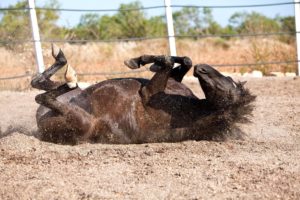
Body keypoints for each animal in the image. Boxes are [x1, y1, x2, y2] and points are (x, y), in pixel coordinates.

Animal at [31, 45, 255, 145]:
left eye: (229, 88)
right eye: (229, 78)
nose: (203, 68)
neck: (193, 111)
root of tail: (40, 127)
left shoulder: (148, 92)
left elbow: (167, 61)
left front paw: (140, 61)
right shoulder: (172, 81)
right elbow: (182, 61)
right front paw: (142, 61)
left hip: (81, 121)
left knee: (43, 95)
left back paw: (68, 74)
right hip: (75, 97)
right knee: (38, 83)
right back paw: (60, 60)